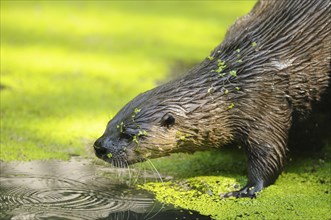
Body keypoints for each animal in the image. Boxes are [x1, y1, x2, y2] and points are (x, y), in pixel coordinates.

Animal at [94, 0, 331, 199]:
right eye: (110, 124)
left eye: (129, 135)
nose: (99, 147)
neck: (238, 82)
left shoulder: (264, 102)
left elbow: (270, 152)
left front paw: (247, 189)